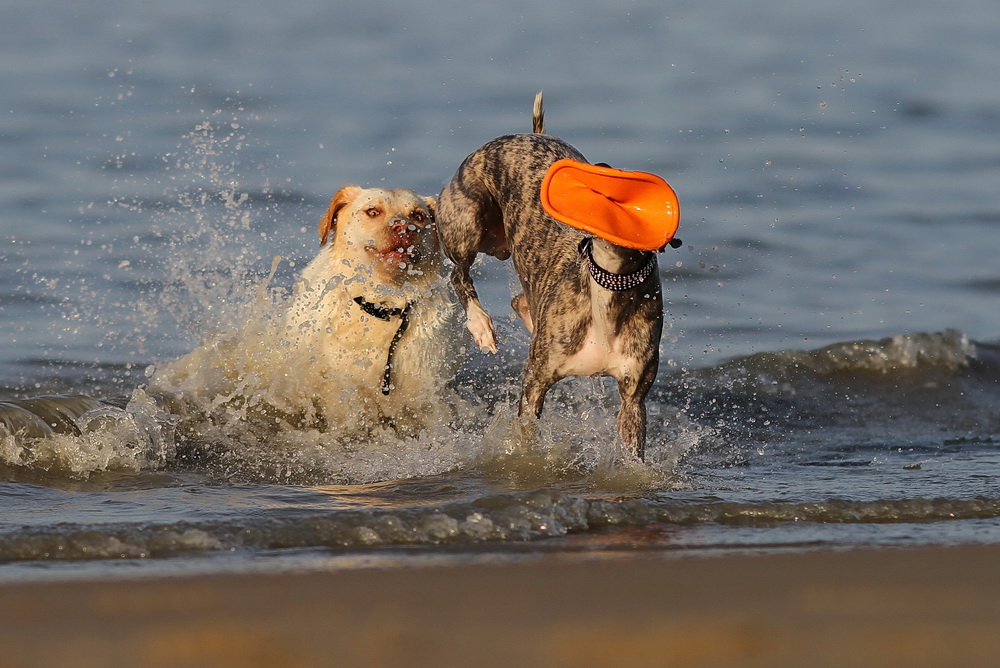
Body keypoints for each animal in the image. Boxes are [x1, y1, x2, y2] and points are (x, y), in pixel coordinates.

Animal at [436, 94, 664, 460]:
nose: (601, 171)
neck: (608, 282)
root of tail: (530, 134)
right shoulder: (536, 380)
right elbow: (527, 429)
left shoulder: (633, 396)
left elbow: (632, 449)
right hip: (466, 218)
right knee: (458, 273)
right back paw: (480, 325)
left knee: (519, 299)